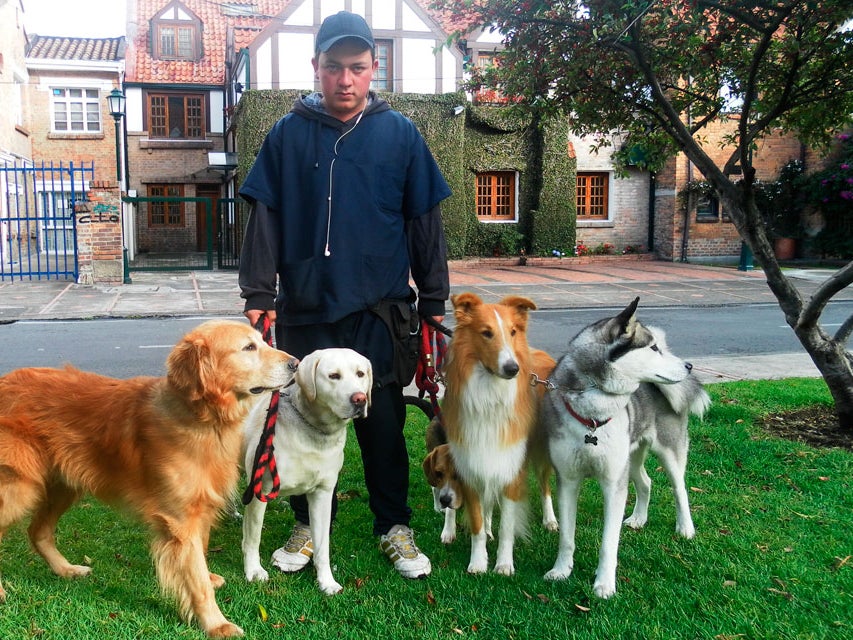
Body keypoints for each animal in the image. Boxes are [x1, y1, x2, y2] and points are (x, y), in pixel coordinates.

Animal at [442, 296, 556, 576]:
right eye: (486, 333)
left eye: (513, 332)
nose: (512, 368)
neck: (490, 395)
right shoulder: (471, 466)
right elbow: (477, 524)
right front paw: (478, 562)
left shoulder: (512, 469)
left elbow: (507, 527)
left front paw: (504, 564)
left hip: (541, 453)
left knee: (545, 486)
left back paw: (550, 520)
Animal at [540, 298, 712, 596]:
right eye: (653, 347)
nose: (689, 365)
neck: (592, 417)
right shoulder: (568, 480)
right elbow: (566, 537)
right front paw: (562, 570)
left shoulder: (612, 483)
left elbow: (608, 544)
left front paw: (604, 584)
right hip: (630, 460)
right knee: (646, 482)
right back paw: (638, 519)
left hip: (668, 454)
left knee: (680, 490)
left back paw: (685, 528)